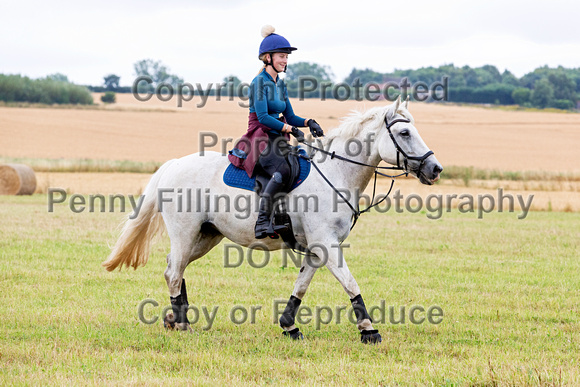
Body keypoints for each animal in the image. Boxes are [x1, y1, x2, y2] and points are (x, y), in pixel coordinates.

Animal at [102, 97, 442, 346]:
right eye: (404, 133)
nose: (435, 169)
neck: (336, 174)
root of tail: (172, 165)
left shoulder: (316, 248)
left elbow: (301, 286)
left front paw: (289, 326)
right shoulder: (327, 244)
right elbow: (350, 283)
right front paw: (369, 330)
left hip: (207, 235)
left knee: (175, 267)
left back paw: (175, 319)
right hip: (185, 232)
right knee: (174, 271)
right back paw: (183, 324)